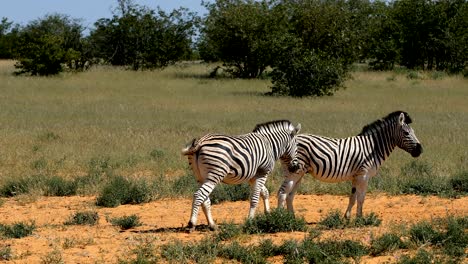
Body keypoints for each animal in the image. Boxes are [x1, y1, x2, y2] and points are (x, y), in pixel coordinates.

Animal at [276, 111, 422, 219]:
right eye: (406, 133)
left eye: (414, 132)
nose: (420, 150)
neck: (372, 148)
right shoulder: (364, 175)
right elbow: (361, 198)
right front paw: (360, 219)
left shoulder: (356, 176)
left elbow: (353, 197)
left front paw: (347, 217)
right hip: (294, 171)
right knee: (282, 192)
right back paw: (280, 219)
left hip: (299, 173)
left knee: (290, 195)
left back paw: (292, 218)